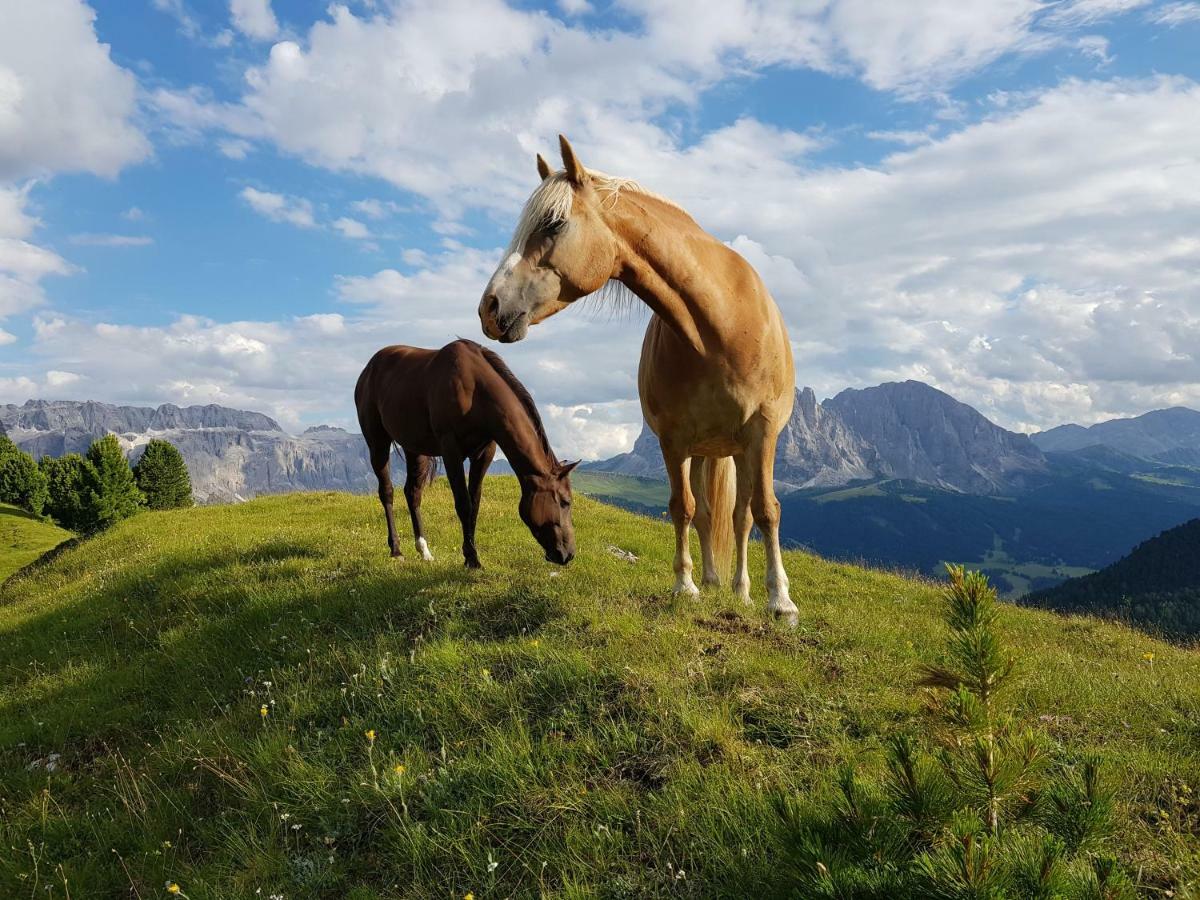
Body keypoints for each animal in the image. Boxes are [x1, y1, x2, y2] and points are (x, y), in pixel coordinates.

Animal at [352, 338, 578, 571]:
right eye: (565, 502)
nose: (568, 554)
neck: (475, 391)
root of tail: (368, 369)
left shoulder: (484, 453)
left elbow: (474, 503)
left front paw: (470, 553)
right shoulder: (451, 450)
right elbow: (463, 503)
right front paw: (471, 558)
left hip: (414, 448)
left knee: (413, 493)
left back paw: (424, 550)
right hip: (377, 442)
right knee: (386, 491)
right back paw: (396, 550)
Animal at [477, 137, 796, 628]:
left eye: (554, 224)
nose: (489, 308)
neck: (720, 323)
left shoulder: (762, 432)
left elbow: (766, 511)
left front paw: (780, 601)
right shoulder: (674, 440)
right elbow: (684, 508)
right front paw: (686, 587)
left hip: (742, 449)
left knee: (742, 516)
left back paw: (742, 591)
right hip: (705, 451)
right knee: (710, 514)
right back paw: (715, 581)